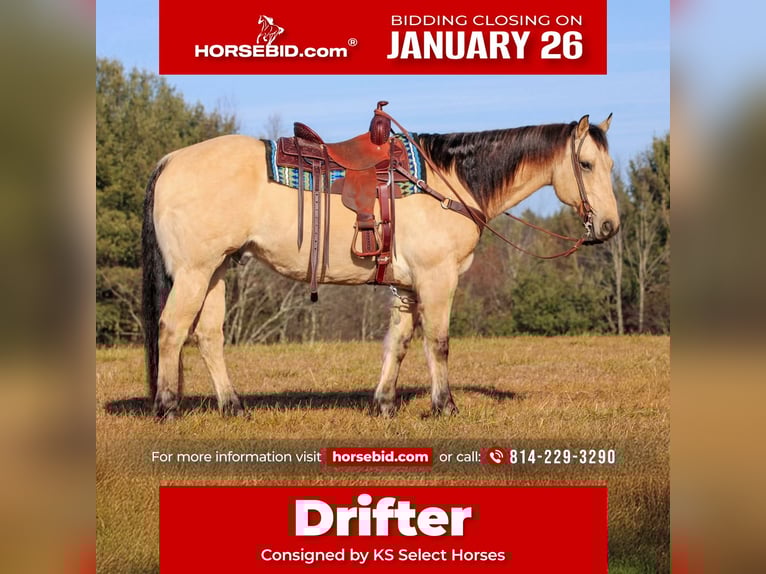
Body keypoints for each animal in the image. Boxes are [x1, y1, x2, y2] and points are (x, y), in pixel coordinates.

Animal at [141, 112, 618, 419]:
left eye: (611, 164)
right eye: (586, 164)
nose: (609, 226)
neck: (449, 182)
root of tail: (170, 160)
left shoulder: (406, 286)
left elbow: (399, 342)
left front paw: (385, 404)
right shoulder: (436, 279)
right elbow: (438, 343)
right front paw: (445, 407)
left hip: (216, 270)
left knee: (207, 336)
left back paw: (233, 407)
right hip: (194, 272)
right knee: (172, 329)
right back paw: (168, 408)